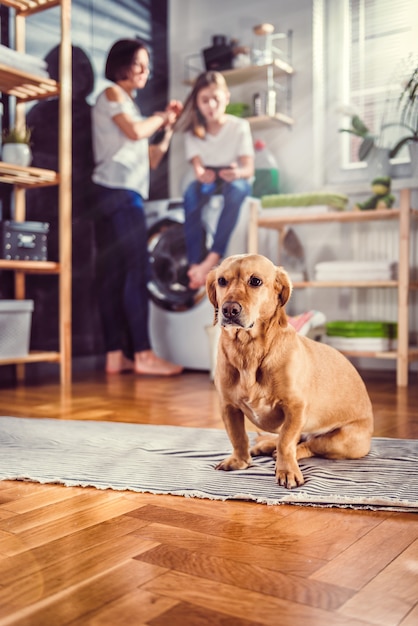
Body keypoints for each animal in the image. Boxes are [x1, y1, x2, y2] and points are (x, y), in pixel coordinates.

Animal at [207, 254, 374, 488]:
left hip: (343, 441)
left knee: (308, 445)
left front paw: (287, 470)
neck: (248, 350)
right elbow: (238, 437)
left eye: (255, 281)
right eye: (222, 281)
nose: (229, 309)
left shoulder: (295, 407)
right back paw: (265, 445)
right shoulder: (228, 407)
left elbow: (286, 441)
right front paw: (239, 460)